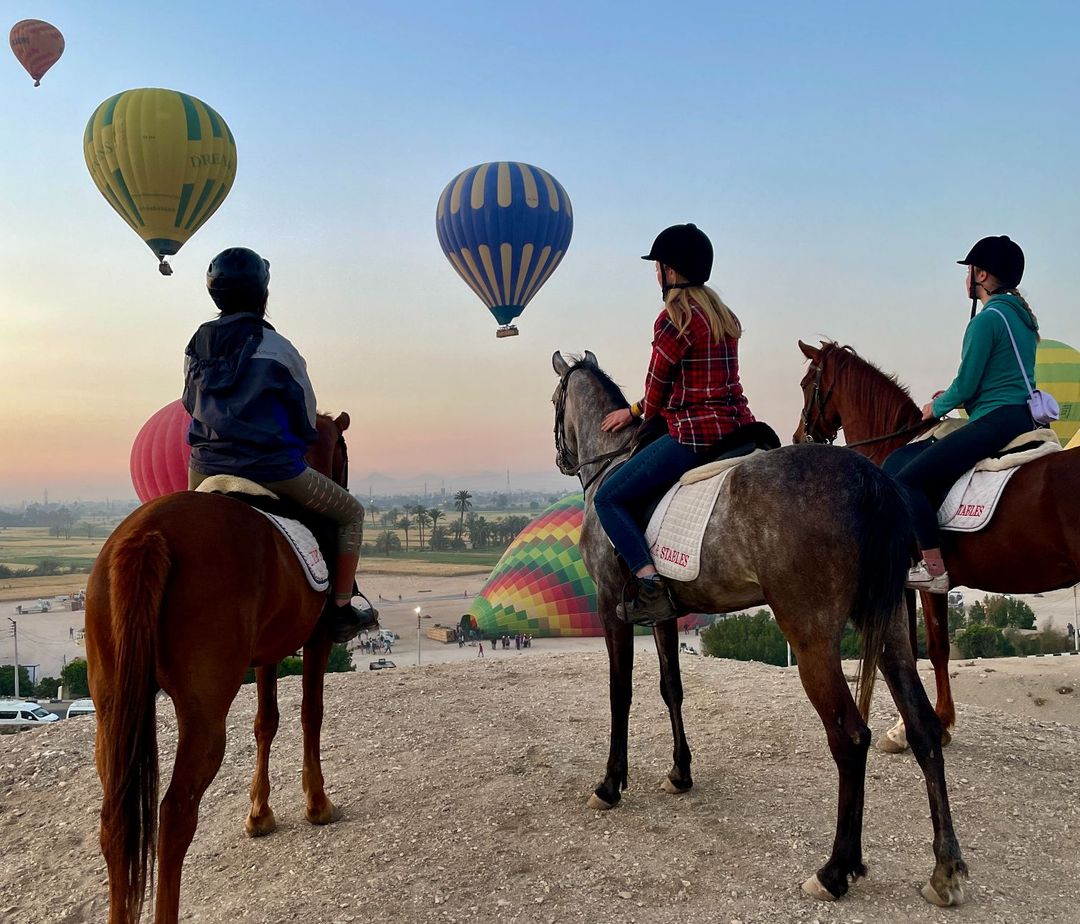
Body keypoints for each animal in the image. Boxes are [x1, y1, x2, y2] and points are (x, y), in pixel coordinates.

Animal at [85, 412, 354, 924]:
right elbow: (311, 714)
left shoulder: (268, 649)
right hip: (203, 712)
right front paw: (316, 803)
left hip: (111, 704)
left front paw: (259, 813)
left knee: (115, 819)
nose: (343, 479)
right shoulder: (317, 639)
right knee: (174, 815)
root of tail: (148, 535)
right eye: (344, 455)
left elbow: (266, 722)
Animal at [552, 349, 967, 906]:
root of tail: (868, 478)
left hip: (811, 638)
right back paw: (944, 868)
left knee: (850, 737)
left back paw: (835, 869)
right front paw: (680, 772)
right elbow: (671, 687)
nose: (562, 459)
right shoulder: (663, 613)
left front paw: (610, 783)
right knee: (921, 726)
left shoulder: (608, 607)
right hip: (892, 624)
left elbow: (621, 693)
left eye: (555, 402)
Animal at [794, 338, 1080, 751]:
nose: (799, 436)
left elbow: (918, 650)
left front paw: (907, 727)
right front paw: (939, 723)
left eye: (805, 384)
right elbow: (936, 648)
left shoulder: (913, 583)